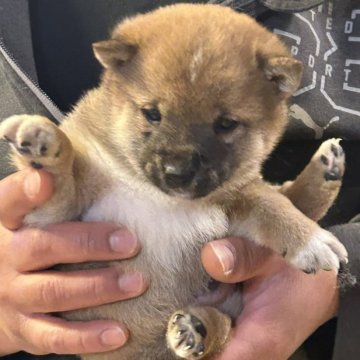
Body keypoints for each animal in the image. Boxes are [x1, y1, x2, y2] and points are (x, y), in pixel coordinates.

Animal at [0, 3, 348, 360]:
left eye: (226, 124)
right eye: (152, 113)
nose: (176, 172)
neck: (160, 198)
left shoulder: (237, 198)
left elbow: (274, 206)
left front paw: (310, 241)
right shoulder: (60, 215)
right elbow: (62, 175)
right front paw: (42, 140)